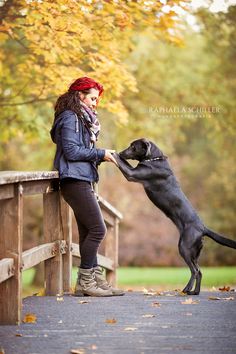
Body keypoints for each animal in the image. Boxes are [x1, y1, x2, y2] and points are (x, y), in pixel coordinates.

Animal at [113, 140, 236, 294]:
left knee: (194, 271)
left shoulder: (132, 174)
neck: (154, 159)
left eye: (133, 146)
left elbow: (122, 163)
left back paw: (187, 289)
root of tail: (203, 228)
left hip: (184, 247)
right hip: (194, 252)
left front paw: (112, 153)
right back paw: (194, 292)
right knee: (200, 271)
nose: (122, 152)